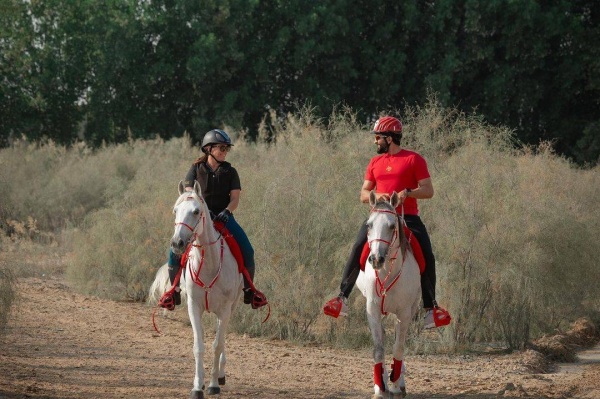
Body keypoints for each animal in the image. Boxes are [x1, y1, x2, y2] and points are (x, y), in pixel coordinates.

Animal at [151, 182, 243, 399]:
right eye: (175, 210)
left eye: (196, 211)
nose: (177, 243)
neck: (209, 264)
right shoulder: (194, 307)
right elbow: (199, 347)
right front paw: (197, 386)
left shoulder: (225, 309)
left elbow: (217, 345)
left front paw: (213, 384)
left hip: (231, 307)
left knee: (222, 339)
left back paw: (221, 375)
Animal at [356, 191, 422, 399]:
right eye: (369, 225)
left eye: (392, 226)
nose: (376, 259)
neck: (387, 273)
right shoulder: (373, 309)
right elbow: (378, 348)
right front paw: (380, 387)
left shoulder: (404, 312)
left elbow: (398, 347)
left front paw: (396, 384)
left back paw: (398, 380)